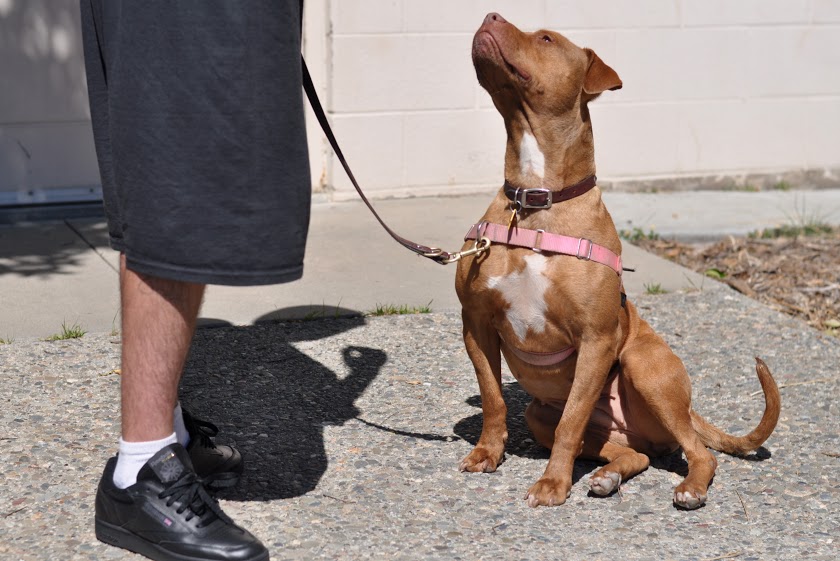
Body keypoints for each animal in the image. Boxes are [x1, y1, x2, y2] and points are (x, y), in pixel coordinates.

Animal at [452, 15, 780, 510]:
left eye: (545, 38)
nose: (490, 16)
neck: (535, 201)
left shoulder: (597, 339)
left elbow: (571, 421)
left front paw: (553, 484)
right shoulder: (476, 323)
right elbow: (493, 398)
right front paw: (487, 453)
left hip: (648, 370)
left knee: (698, 451)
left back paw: (690, 488)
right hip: (543, 416)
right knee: (634, 454)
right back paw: (608, 476)